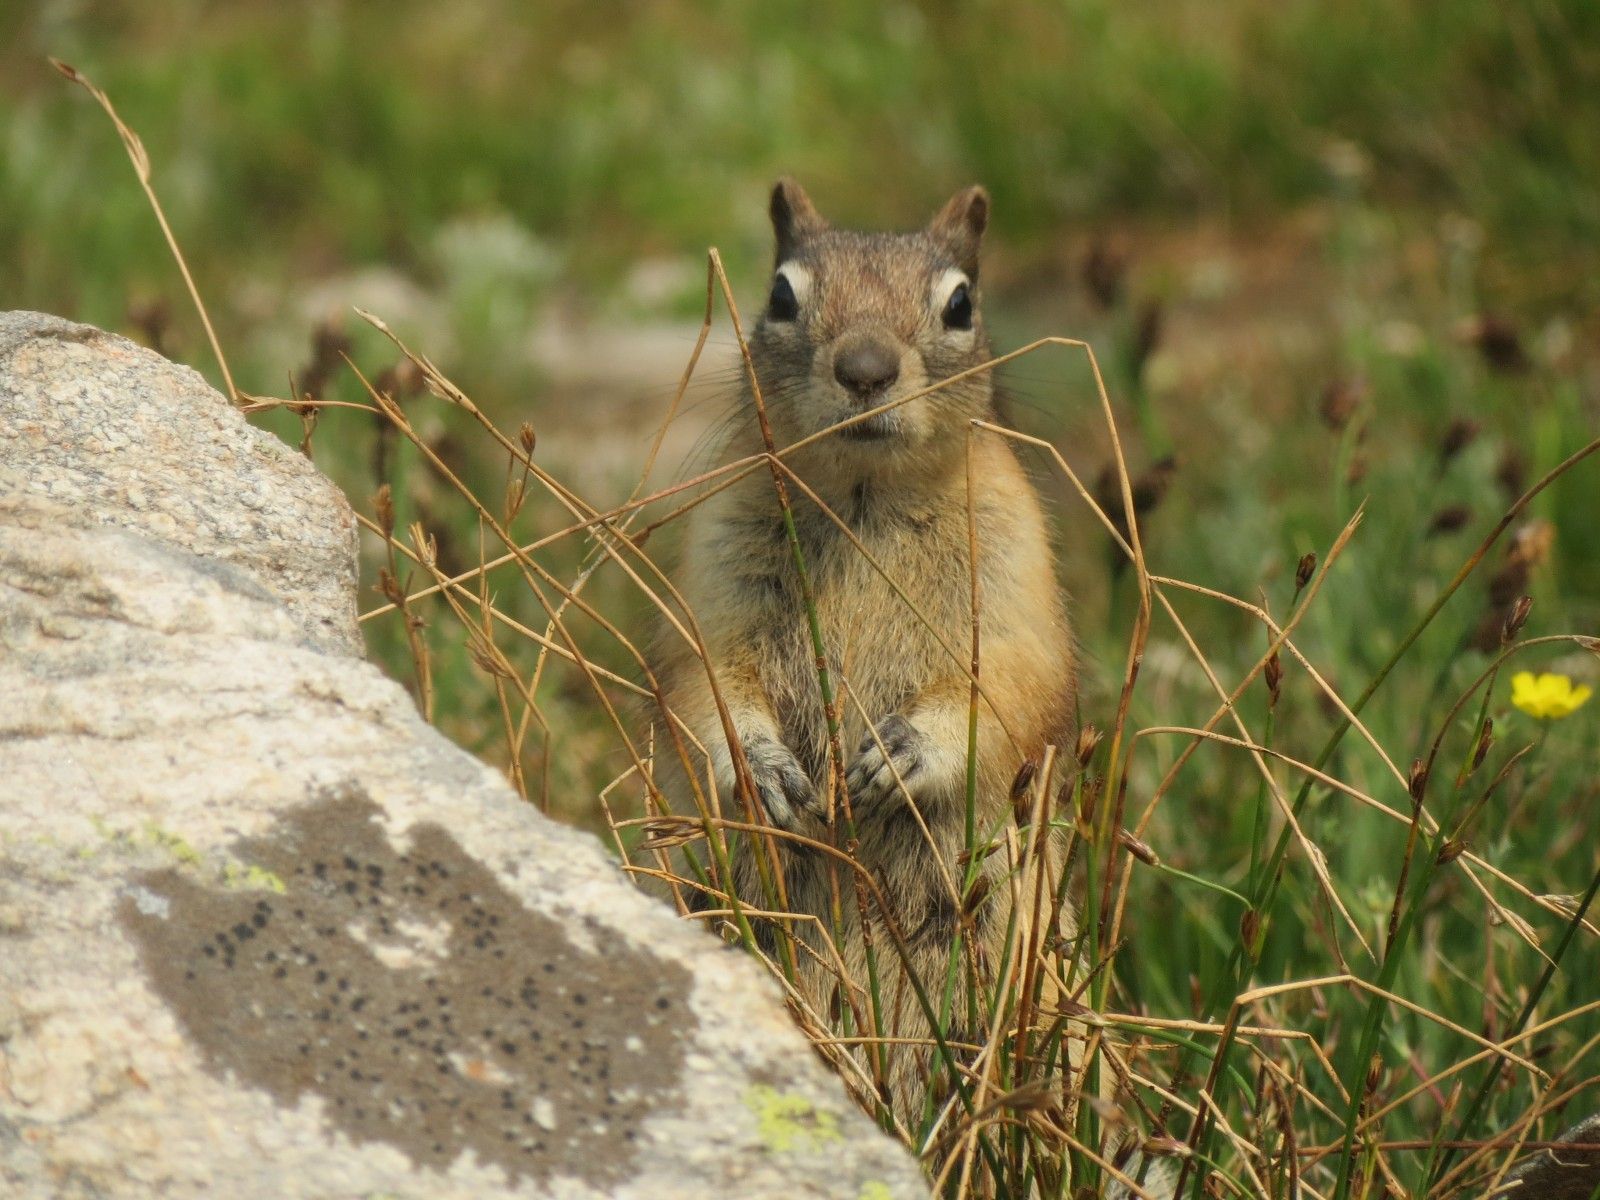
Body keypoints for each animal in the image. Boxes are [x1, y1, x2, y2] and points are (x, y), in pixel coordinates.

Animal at [650, 178, 1078, 1123]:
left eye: (961, 305)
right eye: (780, 295)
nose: (866, 370)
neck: (862, 494)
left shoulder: (1016, 578)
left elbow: (1013, 690)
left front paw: (902, 753)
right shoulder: (714, 581)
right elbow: (700, 687)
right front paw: (764, 769)